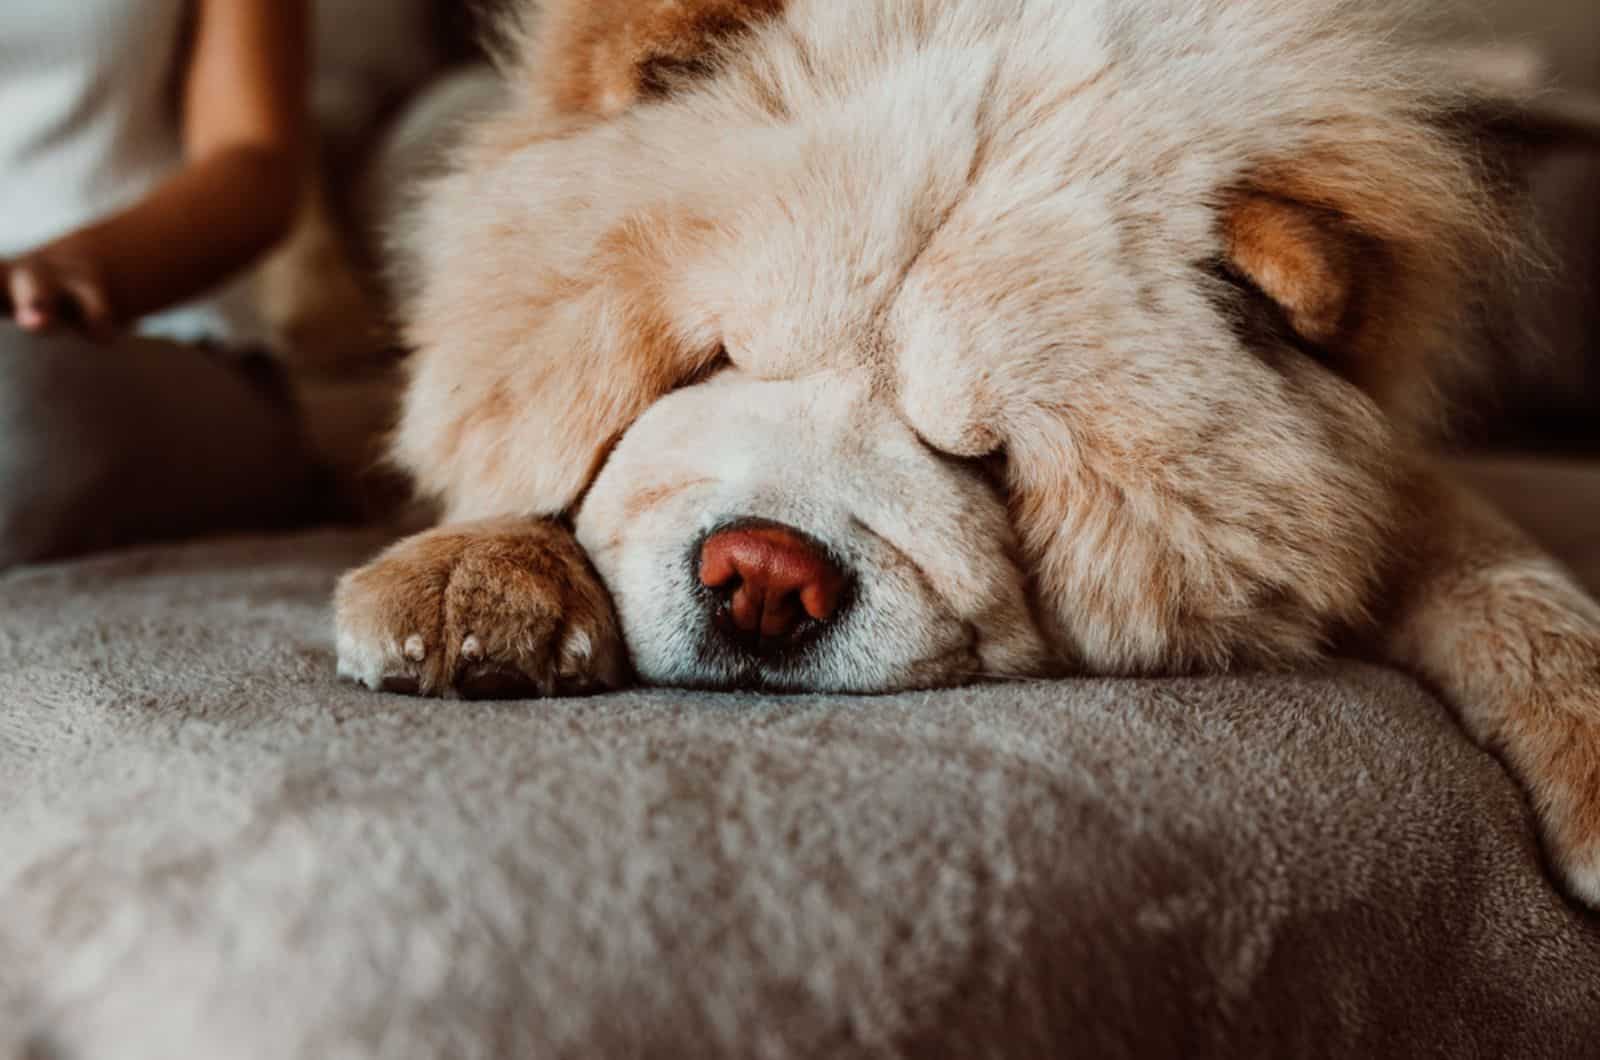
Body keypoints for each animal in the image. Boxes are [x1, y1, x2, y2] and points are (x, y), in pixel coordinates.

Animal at [331, 2, 1600, 915]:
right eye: (714, 362)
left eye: (981, 457)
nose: (764, 575)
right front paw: (475, 578)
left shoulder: (1389, 489)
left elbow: (1502, 582)